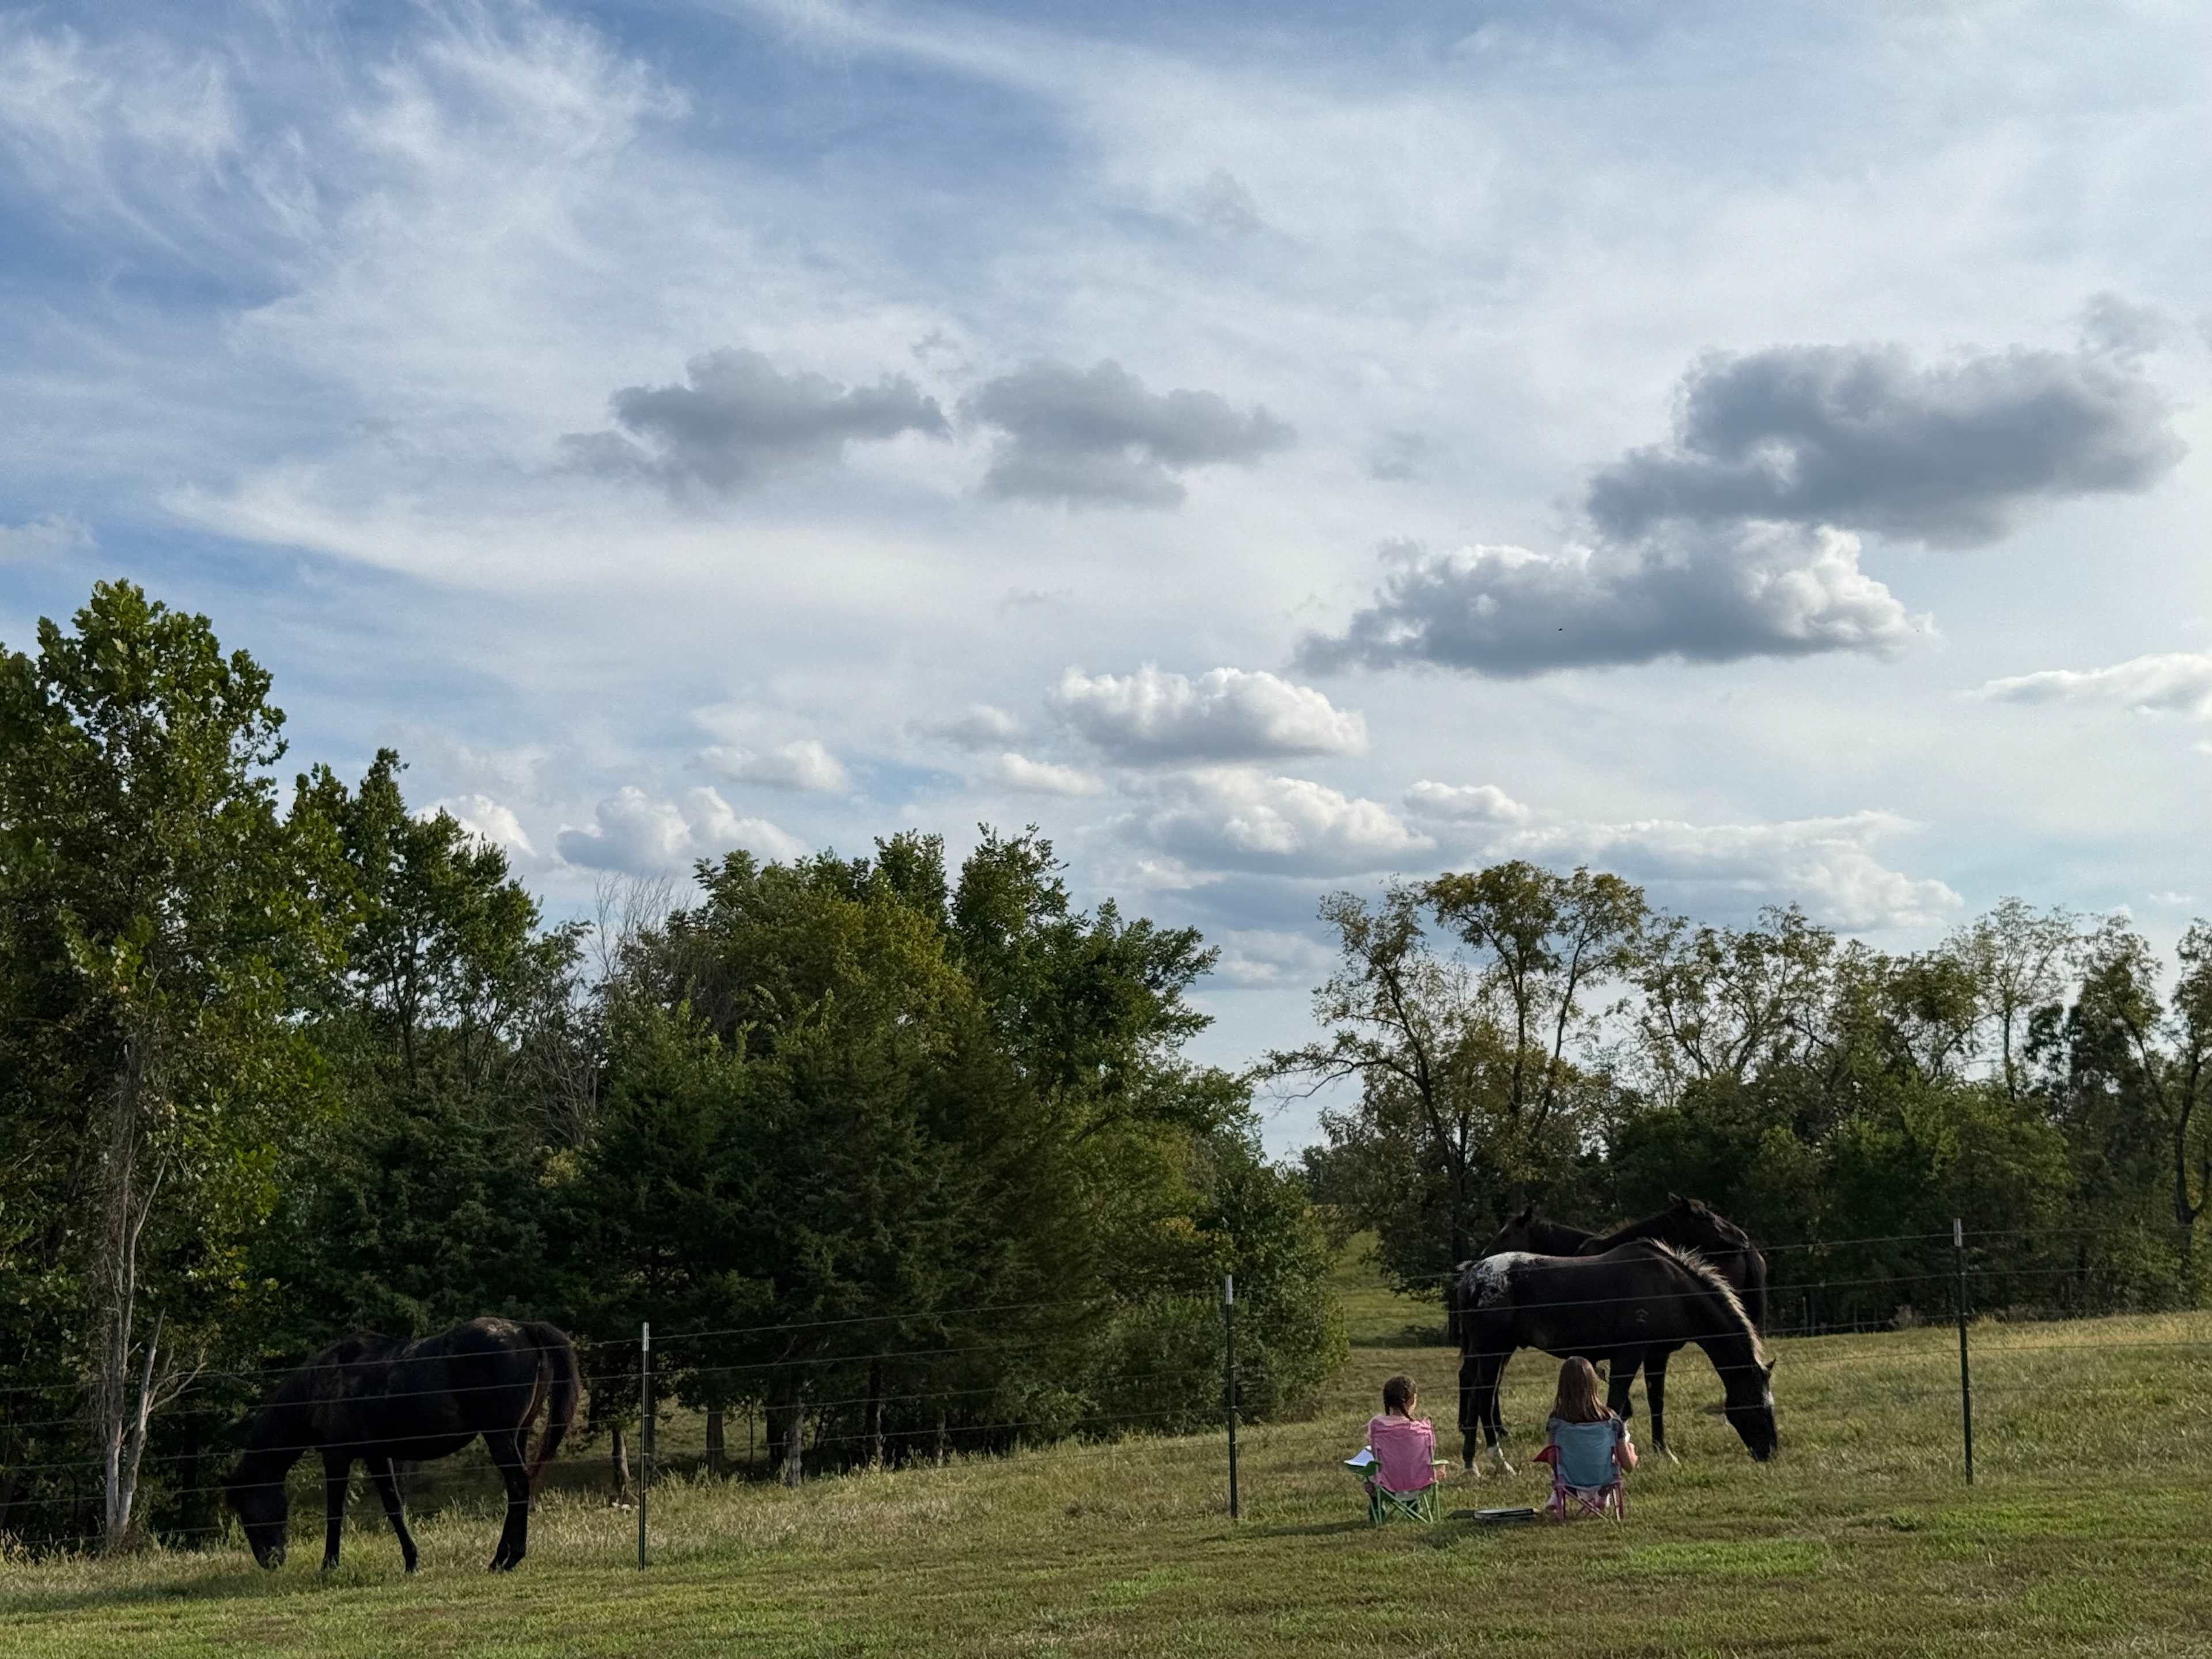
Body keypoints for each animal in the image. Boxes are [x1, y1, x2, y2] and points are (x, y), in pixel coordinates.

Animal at [224, 1317, 579, 1573]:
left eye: (247, 1508)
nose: (270, 1560)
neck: (325, 1382)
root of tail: (523, 1329)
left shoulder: (337, 1457)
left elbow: (335, 1512)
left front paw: (329, 1565)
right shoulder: (378, 1455)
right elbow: (393, 1506)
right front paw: (411, 1561)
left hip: (500, 1436)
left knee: (518, 1485)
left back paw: (507, 1559)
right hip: (517, 1434)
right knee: (517, 1490)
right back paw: (502, 1557)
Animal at [1455, 1240, 1777, 1473]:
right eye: (1757, 1406)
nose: (1770, 1453)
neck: (1670, 1290)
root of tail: (1472, 1276)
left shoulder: (1657, 1356)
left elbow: (1656, 1403)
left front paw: (1664, 1452)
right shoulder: (1628, 1356)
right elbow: (1616, 1405)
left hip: (1493, 1352)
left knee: (1475, 1396)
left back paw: (1471, 1465)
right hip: (1493, 1350)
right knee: (1484, 1397)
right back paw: (1499, 1461)